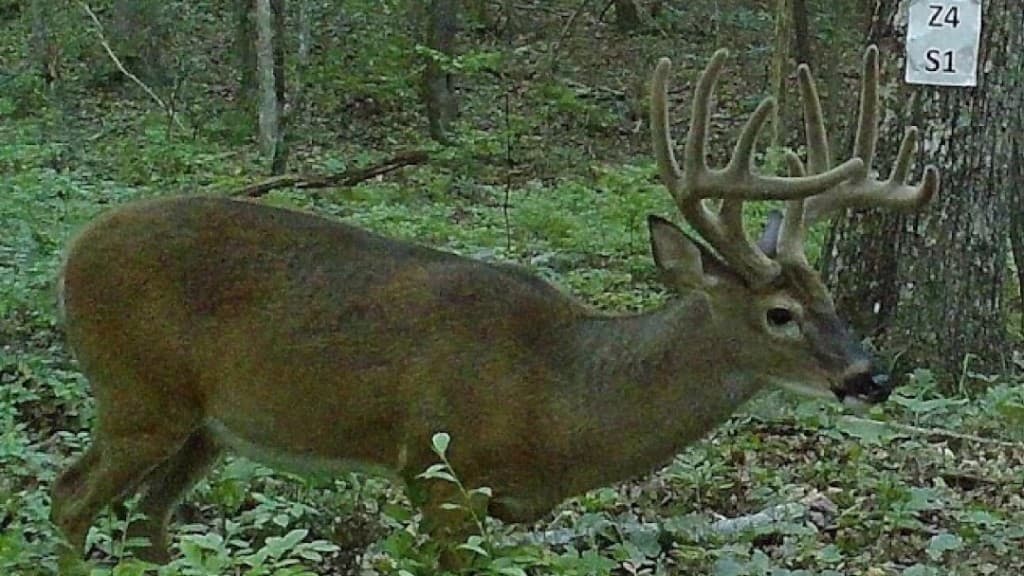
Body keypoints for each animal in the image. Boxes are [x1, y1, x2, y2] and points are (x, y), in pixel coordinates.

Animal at [51, 45, 937, 571]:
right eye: (779, 313)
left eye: (832, 297)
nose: (871, 376)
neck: (563, 399)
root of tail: (74, 249)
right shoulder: (438, 467)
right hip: (137, 392)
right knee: (69, 496)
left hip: (205, 427)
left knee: (145, 524)